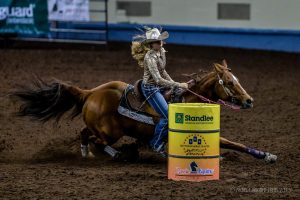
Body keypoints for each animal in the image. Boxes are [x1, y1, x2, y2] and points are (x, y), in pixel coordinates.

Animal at [11, 60, 278, 163]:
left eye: (237, 79)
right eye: (229, 82)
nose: (249, 100)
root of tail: (90, 92)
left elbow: (235, 144)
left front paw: (267, 155)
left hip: (99, 126)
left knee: (84, 134)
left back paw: (87, 153)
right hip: (112, 133)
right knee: (98, 140)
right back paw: (121, 153)